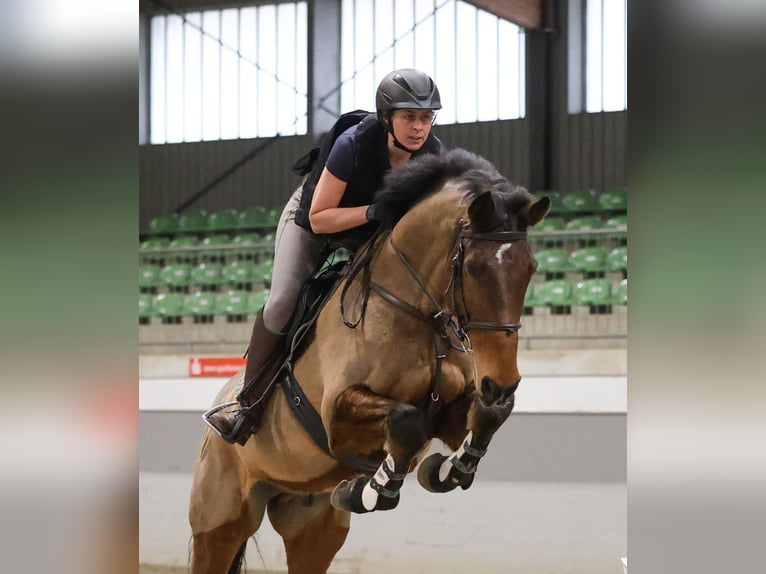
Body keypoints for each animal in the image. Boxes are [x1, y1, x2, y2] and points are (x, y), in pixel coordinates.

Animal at [191, 150, 552, 574]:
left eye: (530, 268)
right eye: (475, 269)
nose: (502, 382)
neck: (417, 312)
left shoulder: (449, 413)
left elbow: (488, 416)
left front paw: (446, 470)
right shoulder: (337, 418)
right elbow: (406, 420)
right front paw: (370, 490)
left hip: (311, 525)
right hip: (220, 522)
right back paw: (236, 419)